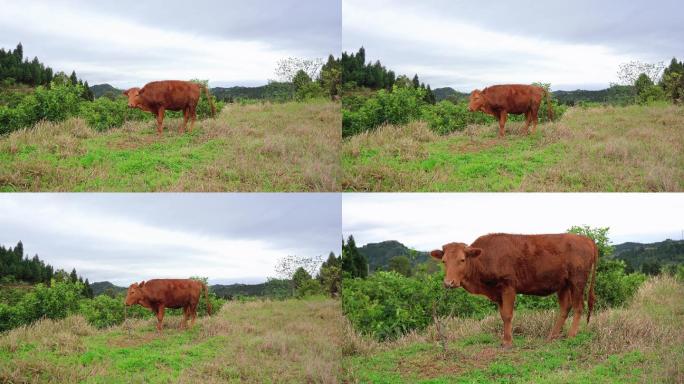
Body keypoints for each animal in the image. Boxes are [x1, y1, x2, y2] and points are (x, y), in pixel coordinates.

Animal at [432, 234, 600, 348]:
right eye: (444, 261)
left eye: (462, 259)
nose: (449, 282)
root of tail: (585, 239)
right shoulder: (498, 292)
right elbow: (502, 315)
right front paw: (505, 339)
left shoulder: (508, 286)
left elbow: (507, 315)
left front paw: (507, 342)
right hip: (563, 284)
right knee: (565, 308)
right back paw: (552, 336)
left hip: (577, 281)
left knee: (578, 307)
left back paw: (571, 335)